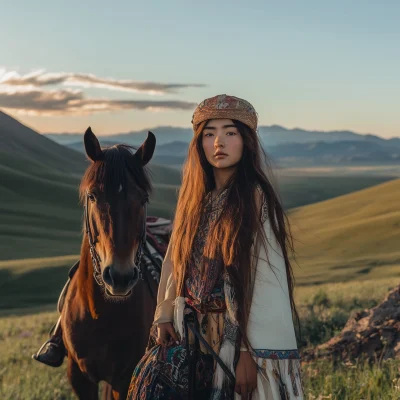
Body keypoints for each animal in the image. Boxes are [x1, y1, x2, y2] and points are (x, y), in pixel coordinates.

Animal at [61, 128, 159, 400]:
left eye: (143, 199)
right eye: (93, 196)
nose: (120, 277)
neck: (99, 313)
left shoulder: (123, 379)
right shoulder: (79, 377)